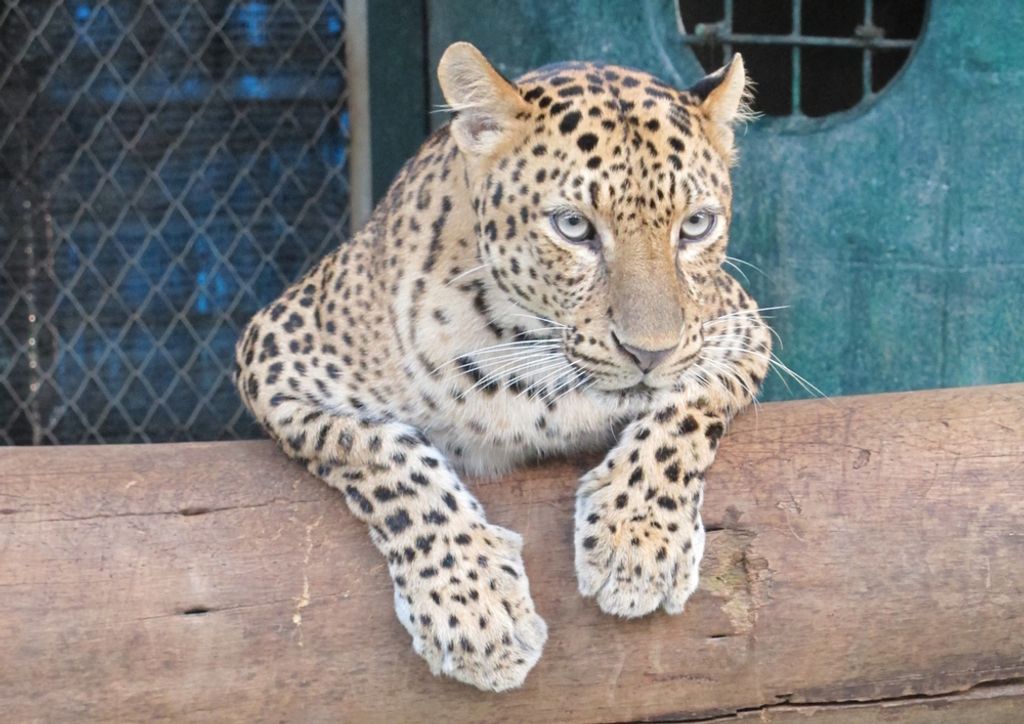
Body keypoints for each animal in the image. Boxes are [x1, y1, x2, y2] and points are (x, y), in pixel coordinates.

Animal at [235, 42, 770, 692]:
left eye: (695, 225)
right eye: (573, 226)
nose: (649, 352)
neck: (531, 370)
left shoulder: (739, 326)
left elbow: (686, 409)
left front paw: (638, 539)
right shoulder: (273, 354)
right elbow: (380, 452)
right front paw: (472, 606)